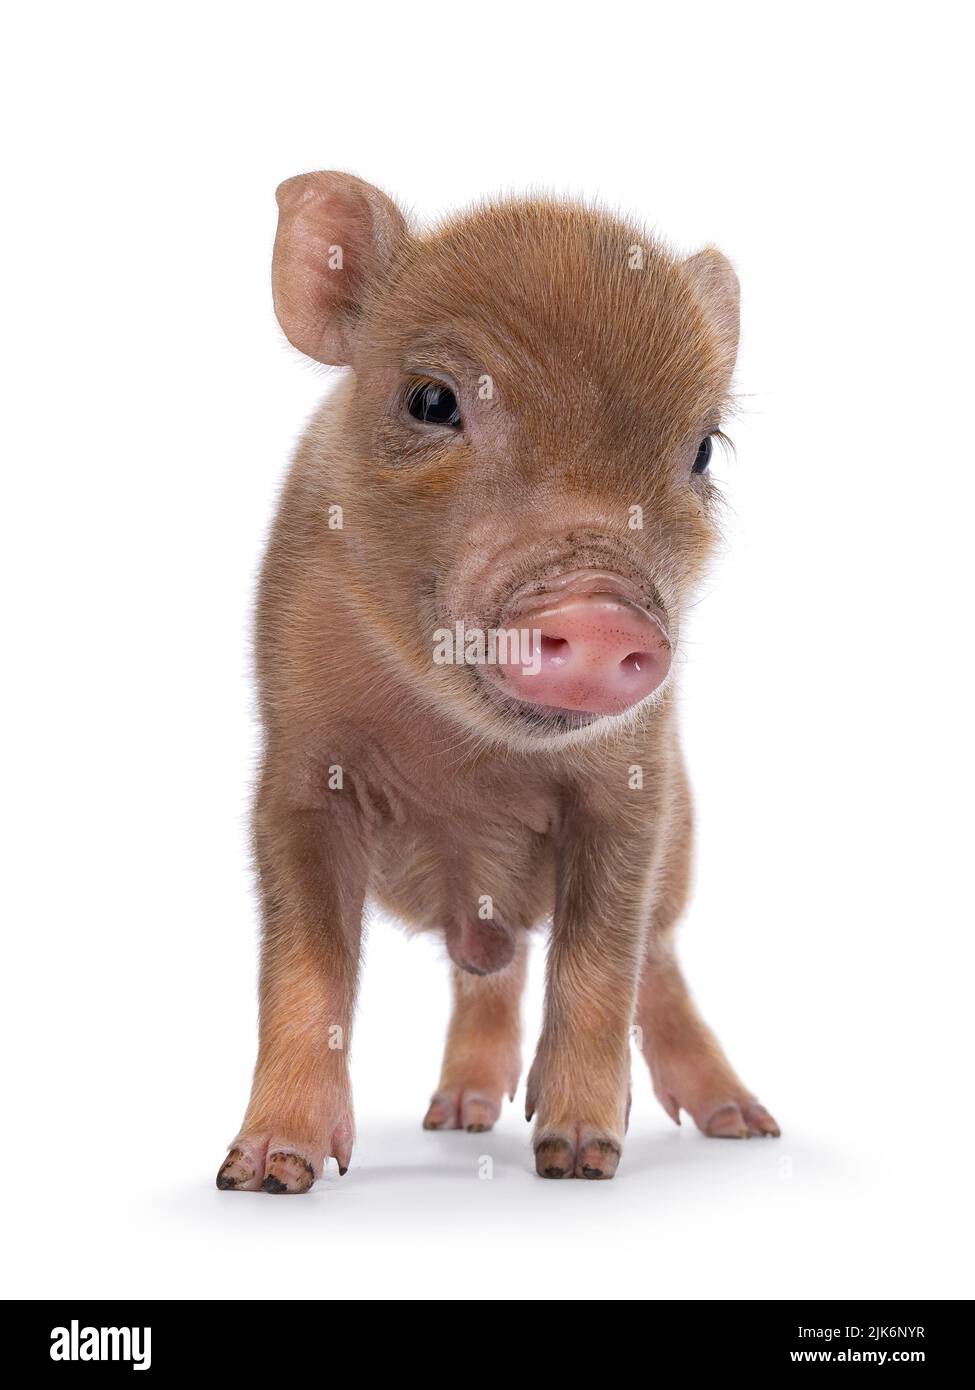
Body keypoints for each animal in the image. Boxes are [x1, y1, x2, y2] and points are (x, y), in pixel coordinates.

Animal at [216, 171, 779, 1194]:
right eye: (432, 400)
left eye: (702, 450)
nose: (603, 615)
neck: (464, 761)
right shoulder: (296, 780)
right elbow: (305, 972)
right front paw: (265, 1174)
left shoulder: (635, 792)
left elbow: (600, 964)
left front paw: (578, 1158)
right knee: (495, 967)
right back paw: (457, 1118)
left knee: (654, 964)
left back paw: (742, 1126)